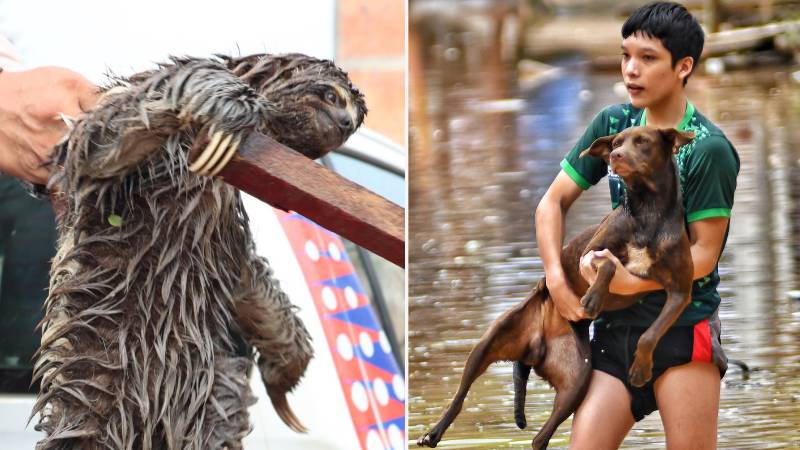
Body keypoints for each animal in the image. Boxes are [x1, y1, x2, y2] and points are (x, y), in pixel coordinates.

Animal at [416, 126, 696, 450]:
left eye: (642, 142)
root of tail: (534, 348)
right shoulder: (590, 252)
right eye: (615, 142)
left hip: (577, 381)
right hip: (488, 343)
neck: (648, 211)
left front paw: (641, 368)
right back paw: (433, 432)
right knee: (460, 396)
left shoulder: (680, 291)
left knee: (540, 438)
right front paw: (593, 298)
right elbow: (609, 264)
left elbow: (650, 334)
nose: (616, 155)